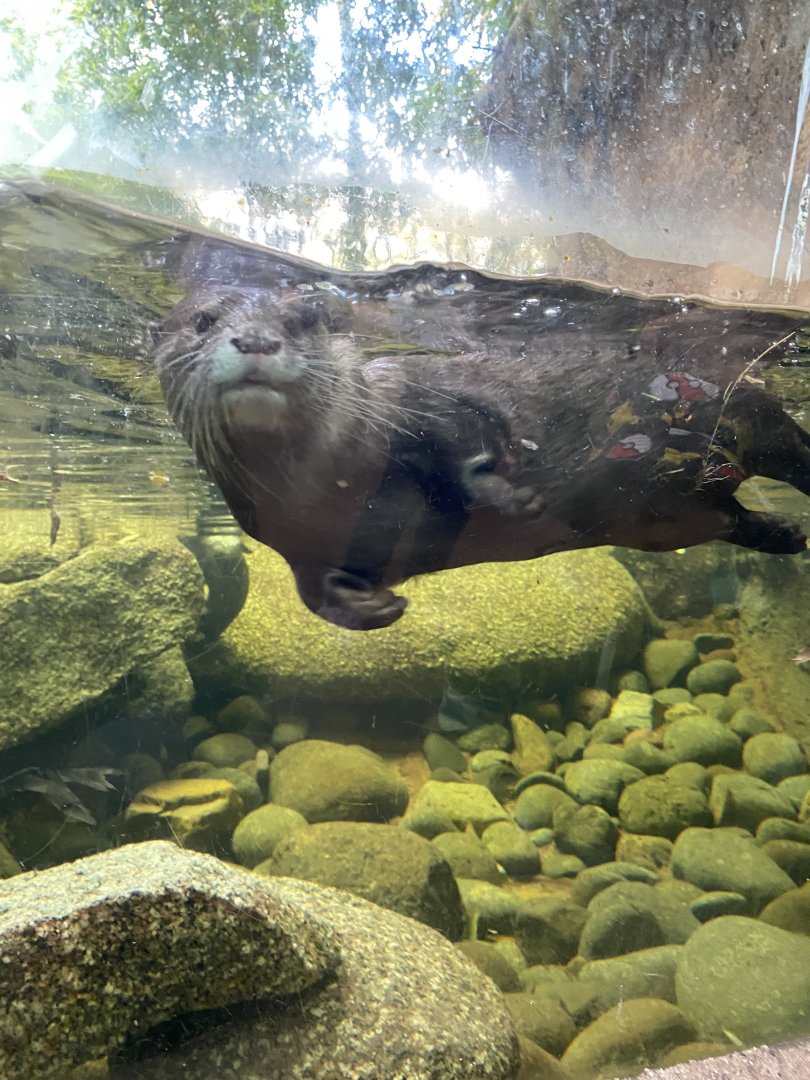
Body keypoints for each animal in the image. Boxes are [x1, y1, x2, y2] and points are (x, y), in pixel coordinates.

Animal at [152, 283, 810, 630]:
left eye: (300, 321)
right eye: (203, 321)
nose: (257, 340)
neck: (327, 485)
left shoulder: (419, 394)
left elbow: (468, 438)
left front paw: (512, 497)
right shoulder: (297, 543)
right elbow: (314, 595)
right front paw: (374, 606)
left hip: (747, 413)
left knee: (788, 450)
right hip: (670, 518)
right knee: (727, 514)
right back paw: (784, 531)